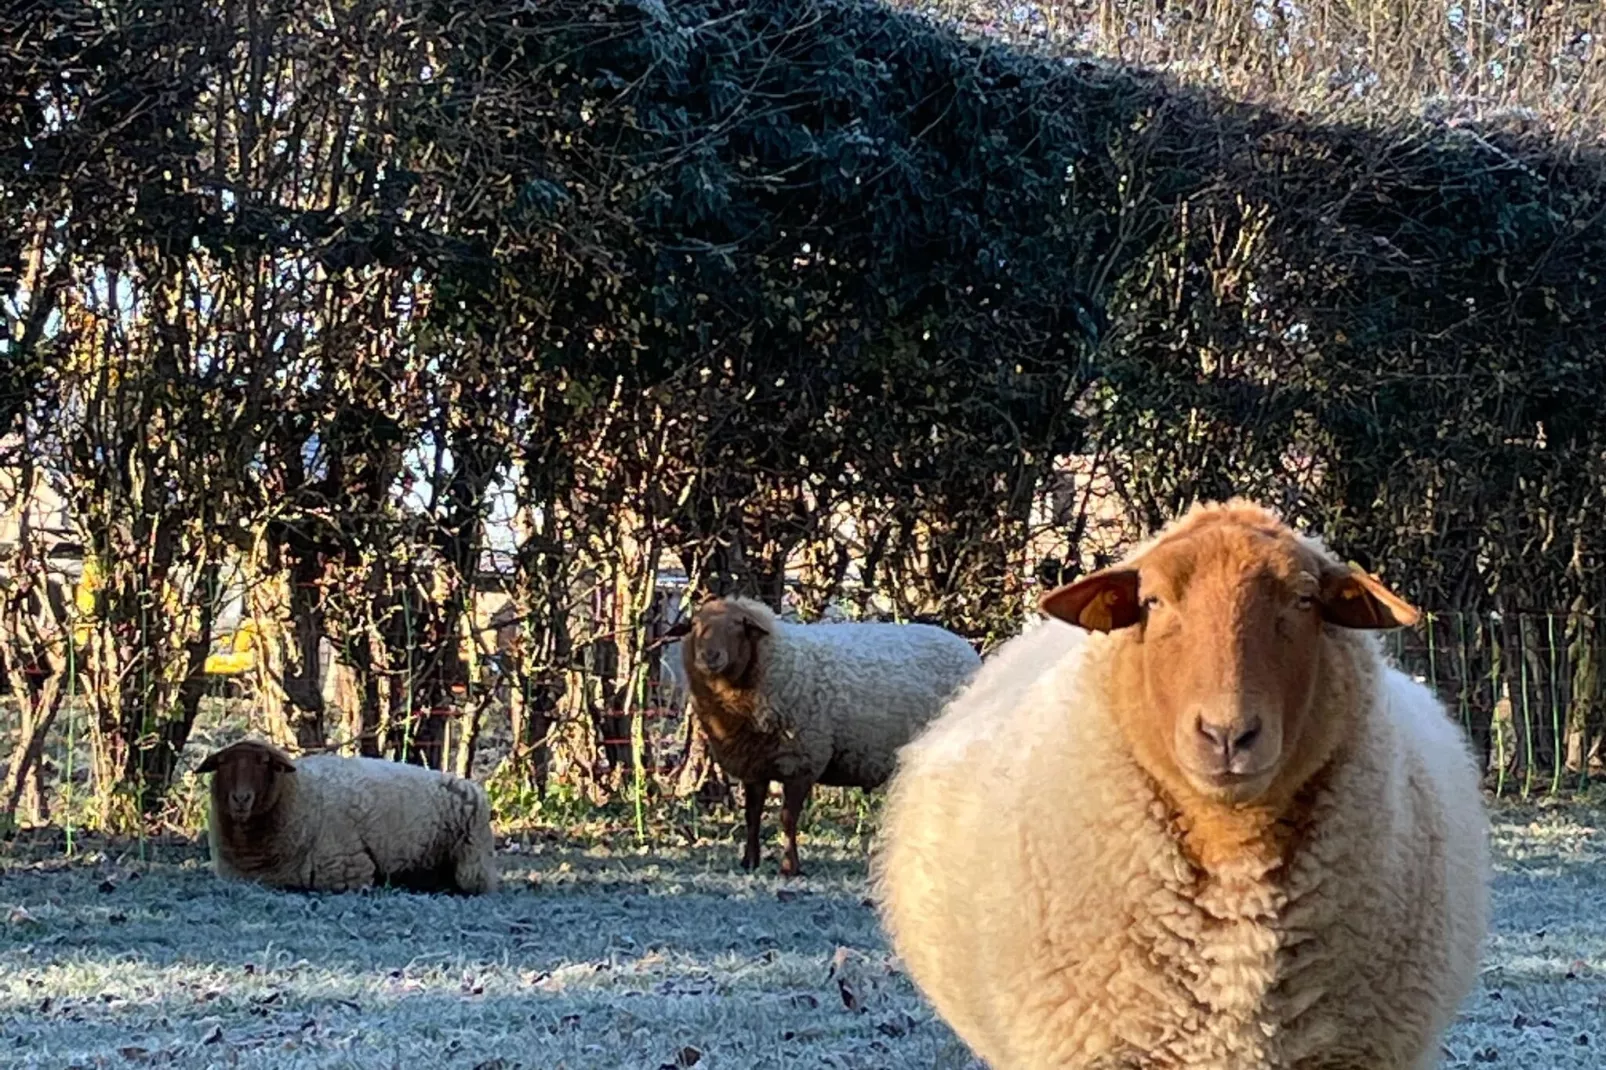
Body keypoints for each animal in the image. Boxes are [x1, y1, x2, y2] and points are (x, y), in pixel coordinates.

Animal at [202, 732, 501, 893]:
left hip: (472, 865)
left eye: (264, 763)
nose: (241, 798)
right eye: (222, 763)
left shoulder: (348, 870)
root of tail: (470, 785)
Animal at [668, 594, 976, 873]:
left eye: (738, 626)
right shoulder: (755, 764)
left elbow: (787, 818)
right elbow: (752, 815)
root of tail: (965, 649)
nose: (709, 657)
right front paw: (749, 862)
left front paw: (790, 867)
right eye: (695, 625)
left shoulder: (802, 760)